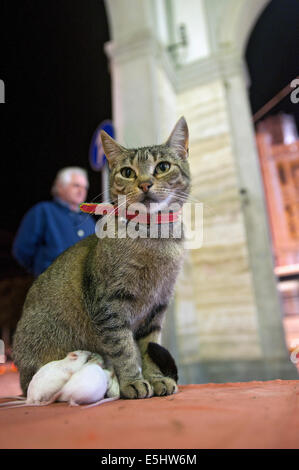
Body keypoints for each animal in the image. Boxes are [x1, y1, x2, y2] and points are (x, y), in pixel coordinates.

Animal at [12, 115, 191, 398]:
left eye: (162, 167)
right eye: (127, 172)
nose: (145, 183)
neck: (154, 237)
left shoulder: (156, 308)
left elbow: (149, 349)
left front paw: (155, 378)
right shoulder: (109, 306)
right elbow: (124, 348)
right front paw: (132, 382)